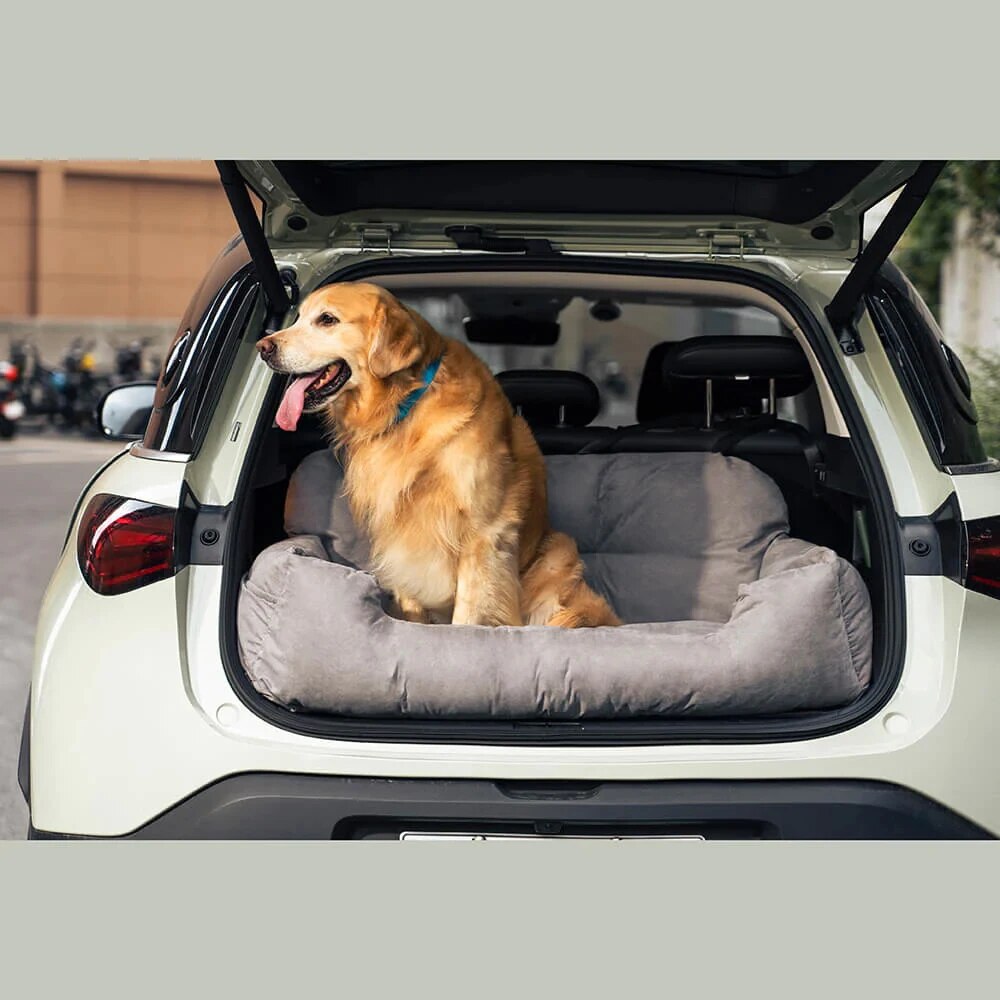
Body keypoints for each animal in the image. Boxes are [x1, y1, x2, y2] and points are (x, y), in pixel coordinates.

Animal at [256, 280, 616, 624]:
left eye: (327, 319)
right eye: (299, 317)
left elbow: (468, 616)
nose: (263, 347)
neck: (405, 407)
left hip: (559, 554)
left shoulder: (483, 534)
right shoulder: (398, 530)